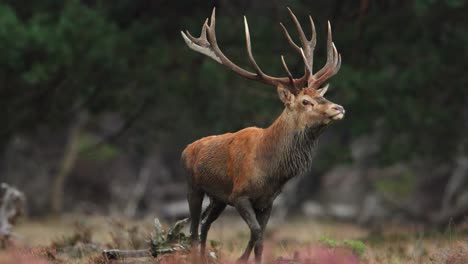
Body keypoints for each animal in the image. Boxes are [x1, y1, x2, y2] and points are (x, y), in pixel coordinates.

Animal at [181, 7, 346, 262]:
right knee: (193, 229)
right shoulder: (239, 195)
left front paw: (246, 257)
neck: (271, 170)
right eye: (305, 101)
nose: (339, 108)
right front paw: (241, 258)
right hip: (193, 187)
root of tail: (186, 149)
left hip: (218, 198)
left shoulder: (267, 201)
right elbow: (257, 233)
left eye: (322, 96)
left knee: (205, 225)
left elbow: (259, 239)